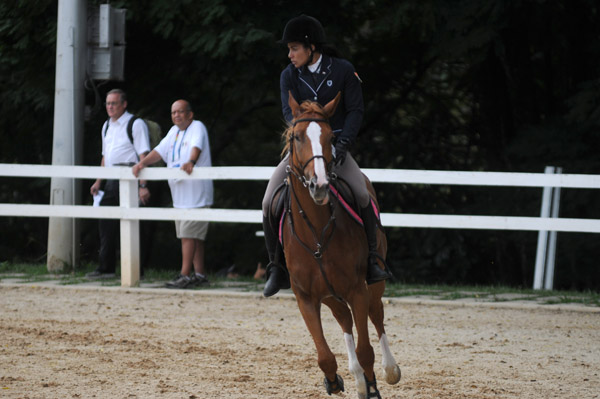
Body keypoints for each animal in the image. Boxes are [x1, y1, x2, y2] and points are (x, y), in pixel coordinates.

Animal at [282, 92, 404, 398]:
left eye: (331, 138)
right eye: (297, 137)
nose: (320, 185)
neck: (316, 231)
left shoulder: (357, 289)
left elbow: (365, 349)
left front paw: (372, 386)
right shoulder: (306, 298)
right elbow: (325, 355)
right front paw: (335, 380)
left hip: (372, 283)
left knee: (375, 314)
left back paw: (388, 371)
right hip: (330, 294)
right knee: (344, 319)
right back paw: (357, 378)